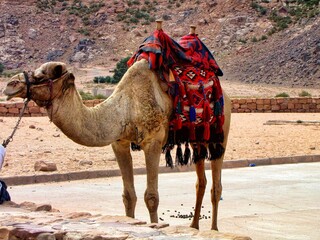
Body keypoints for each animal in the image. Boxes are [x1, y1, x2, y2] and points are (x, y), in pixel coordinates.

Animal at [3, 55, 231, 231]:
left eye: (41, 76)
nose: (9, 86)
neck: (125, 108)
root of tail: (226, 95)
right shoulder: (119, 143)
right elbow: (128, 196)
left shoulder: (153, 141)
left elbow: (152, 197)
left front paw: (155, 225)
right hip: (198, 138)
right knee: (200, 182)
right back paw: (194, 226)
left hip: (221, 133)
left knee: (216, 185)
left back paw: (214, 229)